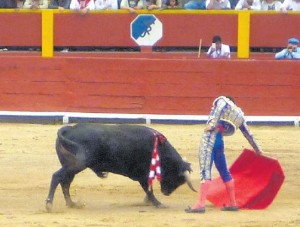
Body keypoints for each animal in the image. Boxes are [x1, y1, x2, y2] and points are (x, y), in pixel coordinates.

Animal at [45, 123, 197, 212]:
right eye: (177, 177)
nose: (166, 192)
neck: (160, 149)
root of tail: (69, 128)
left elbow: (149, 188)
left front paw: (148, 202)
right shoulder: (143, 174)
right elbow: (148, 189)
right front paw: (158, 203)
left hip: (71, 166)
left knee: (65, 182)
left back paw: (72, 204)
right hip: (76, 164)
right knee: (57, 177)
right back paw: (49, 205)